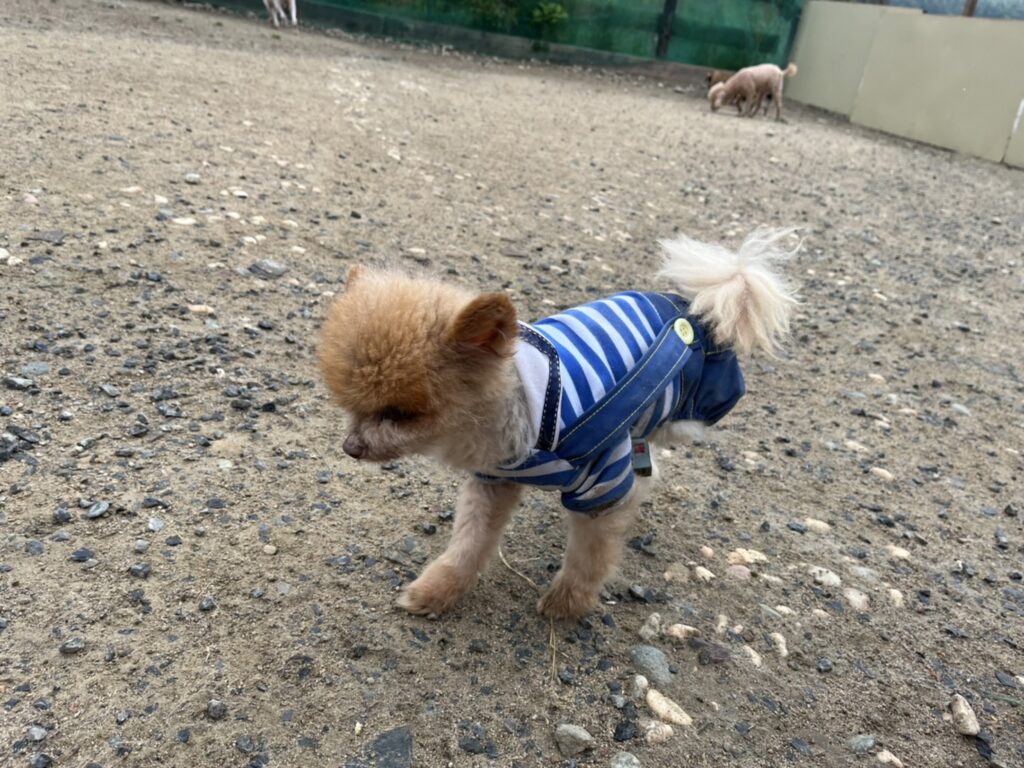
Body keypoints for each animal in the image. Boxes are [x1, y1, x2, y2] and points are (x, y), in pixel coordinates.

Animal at [319, 229, 797, 619]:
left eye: (400, 413)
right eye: (351, 407)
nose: (351, 447)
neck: (523, 418)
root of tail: (693, 307)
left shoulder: (602, 486)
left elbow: (590, 556)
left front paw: (568, 602)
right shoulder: (492, 481)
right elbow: (468, 543)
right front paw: (439, 590)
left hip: (686, 408)